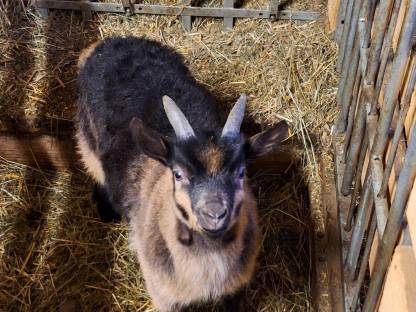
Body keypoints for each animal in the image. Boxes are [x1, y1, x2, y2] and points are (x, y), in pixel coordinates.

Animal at [75, 37, 290, 312]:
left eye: (241, 172)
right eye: (177, 174)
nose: (214, 214)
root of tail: (111, 42)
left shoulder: (237, 289)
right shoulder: (163, 295)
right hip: (87, 138)